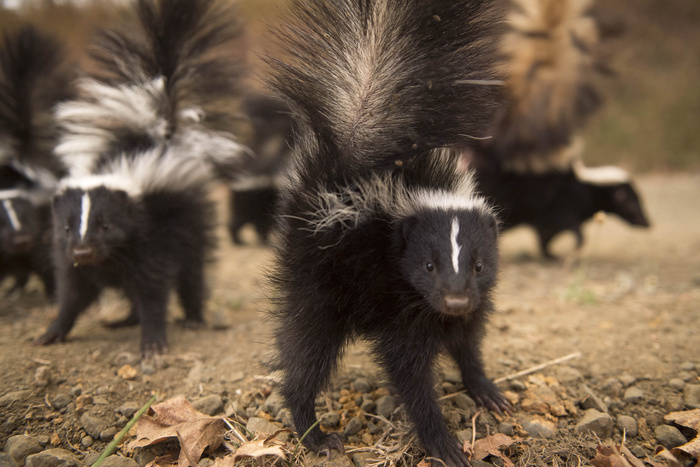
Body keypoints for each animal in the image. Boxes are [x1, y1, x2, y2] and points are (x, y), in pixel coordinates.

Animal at [35, 0, 250, 358]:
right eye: (65, 229)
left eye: (106, 226)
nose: (83, 251)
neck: (108, 257)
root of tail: (161, 131)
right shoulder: (72, 259)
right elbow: (73, 295)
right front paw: (52, 332)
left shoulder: (151, 240)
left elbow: (152, 291)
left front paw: (152, 342)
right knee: (132, 289)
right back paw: (124, 320)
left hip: (191, 225)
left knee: (191, 273)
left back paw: (194, 318)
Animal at [270, 1, 512, 466]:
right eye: (428, 265)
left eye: (478, 265)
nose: (455, 300)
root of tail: (344, 173)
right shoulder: (400, 306)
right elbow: (410, 375)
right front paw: (443, 443)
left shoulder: (471, 305)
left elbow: (468, 345)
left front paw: (486, 389)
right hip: (317, 283)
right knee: (307, 353)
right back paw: (313, 432)